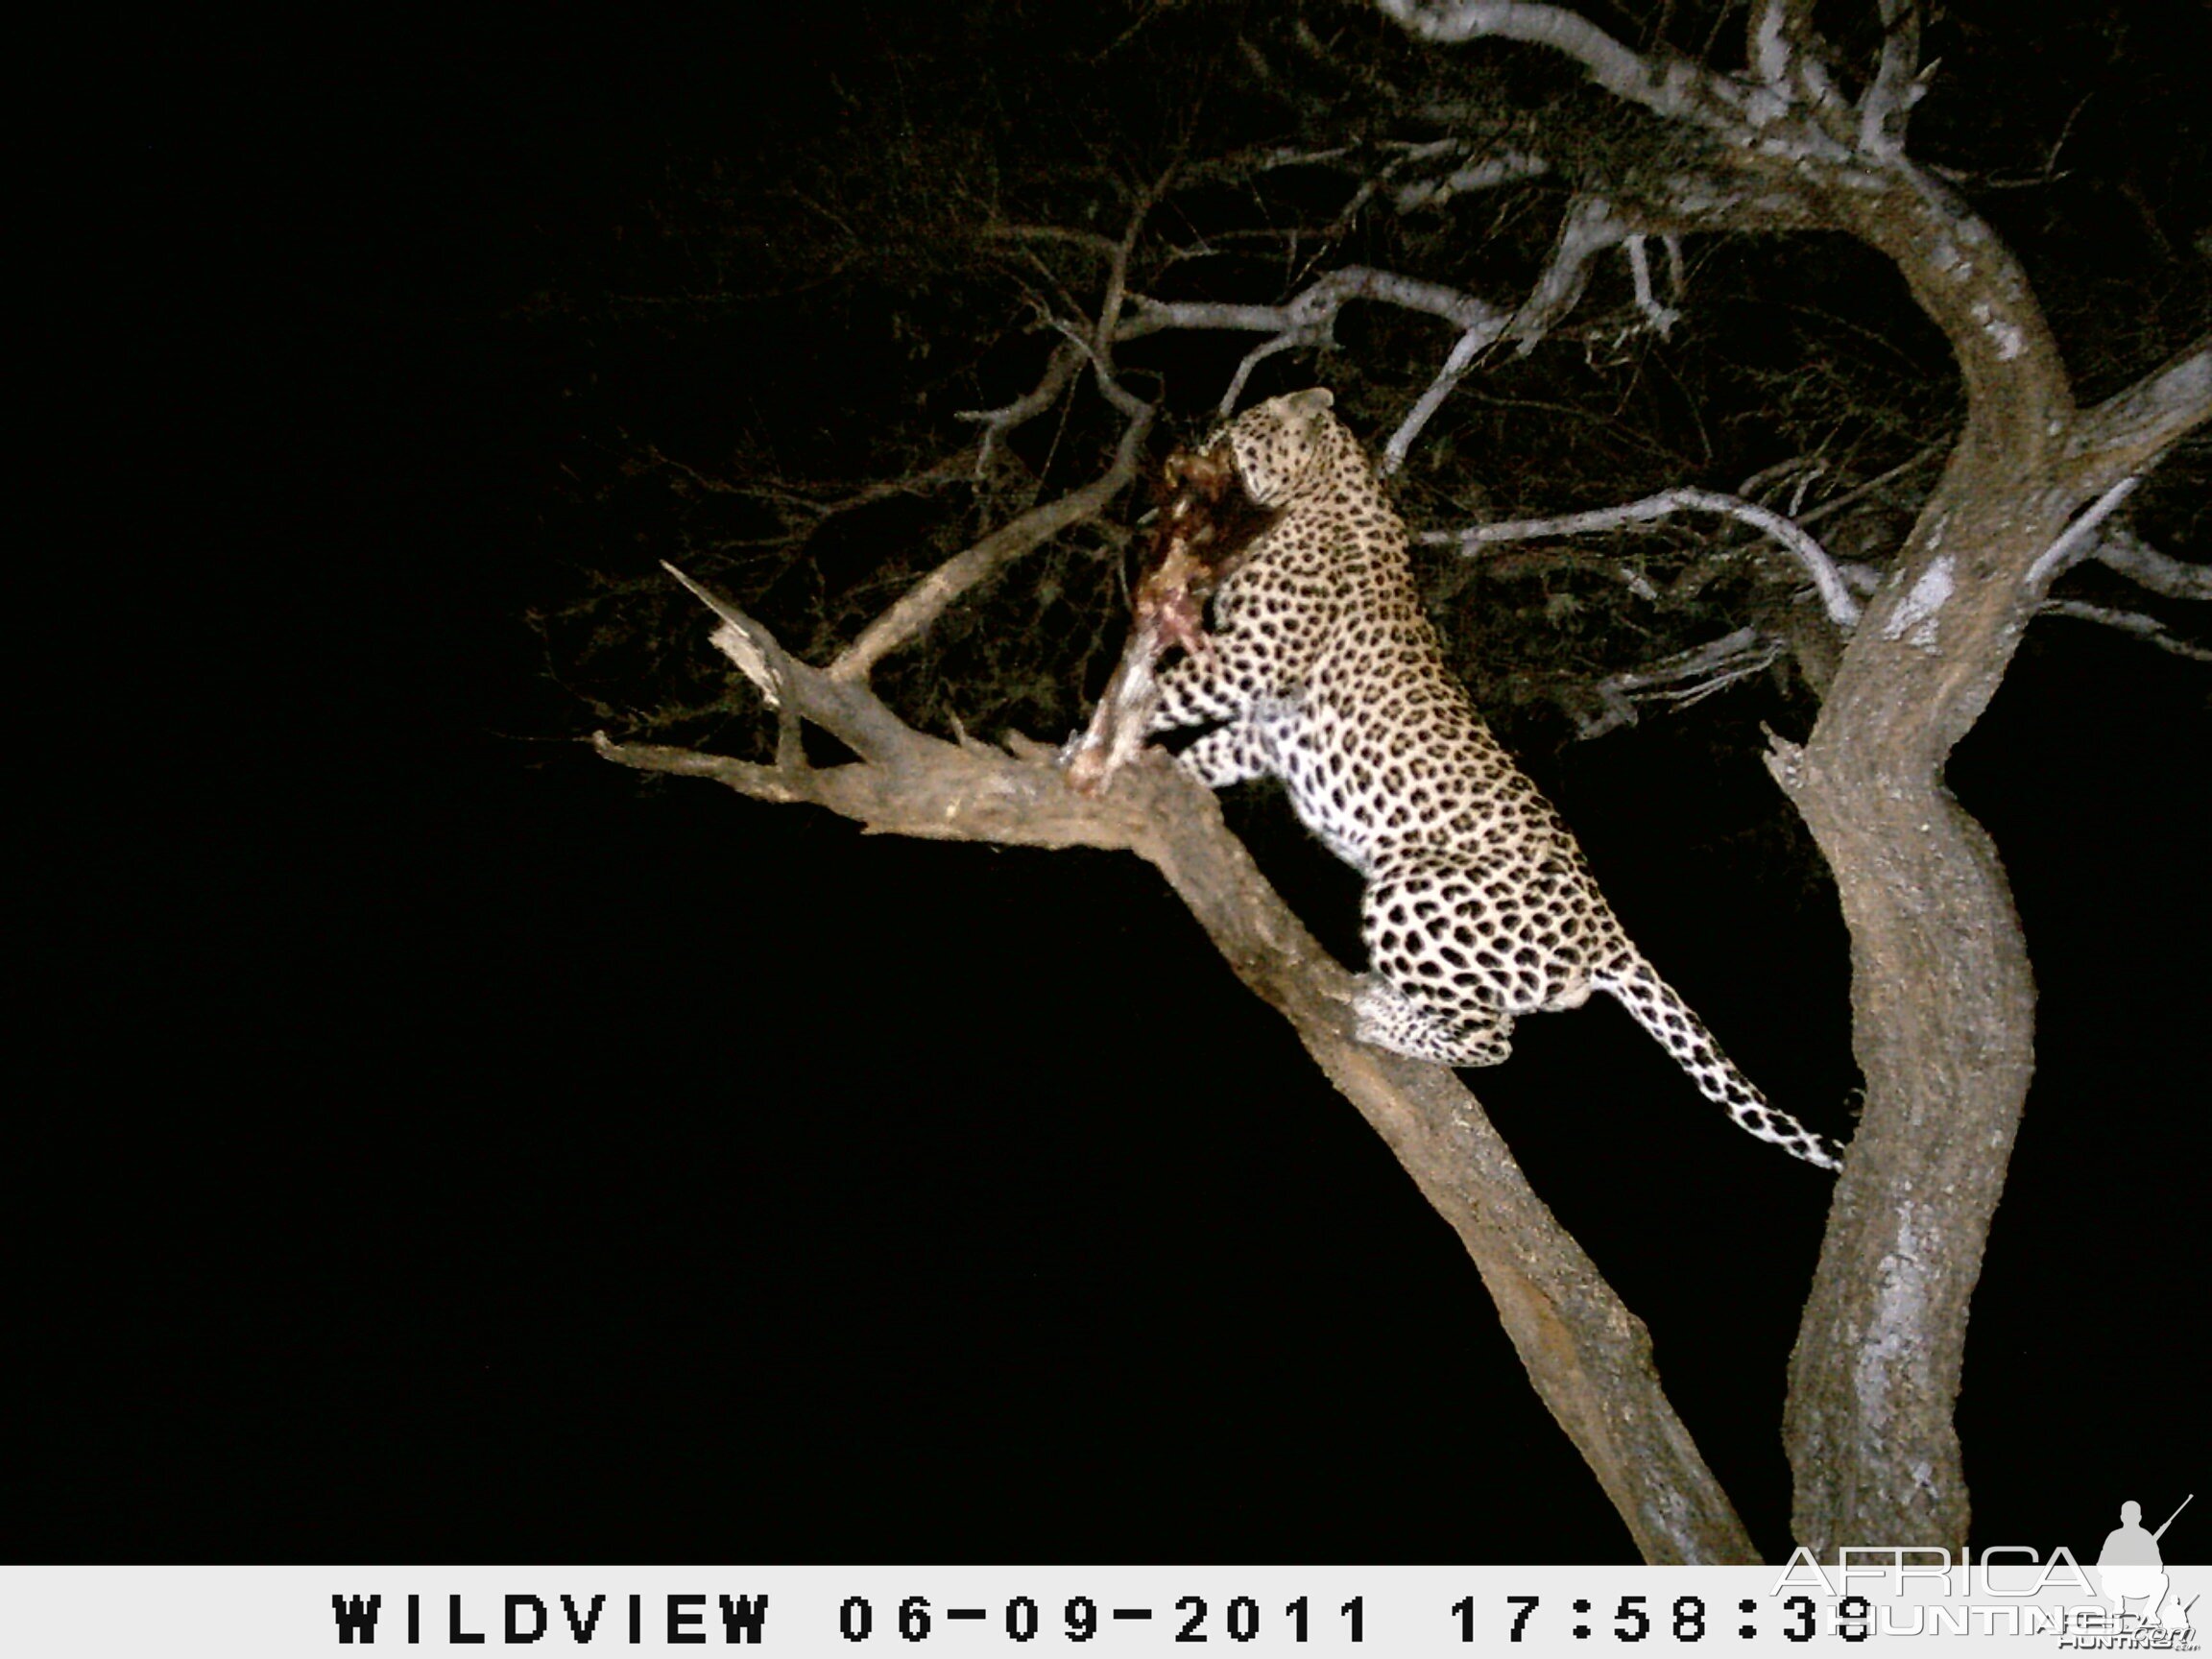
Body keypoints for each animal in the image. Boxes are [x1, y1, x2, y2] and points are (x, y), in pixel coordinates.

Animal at [1132, 387, 1839, 1167]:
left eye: (1240, 426)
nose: (1200, 437)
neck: (1327, 485)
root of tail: (1609, 932)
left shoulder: (1249, 659)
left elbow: (1166, 694)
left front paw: (1087, 745)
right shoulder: (1264, 725)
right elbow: (1207, 749)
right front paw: (1154, 772)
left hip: (1413, 890)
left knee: (1494, 1040)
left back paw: (1382, 1015)